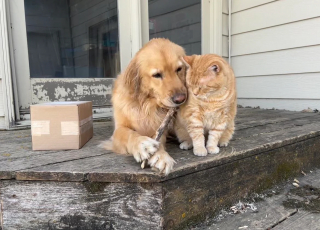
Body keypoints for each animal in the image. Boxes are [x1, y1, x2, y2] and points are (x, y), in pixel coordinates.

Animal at [101, 38, 188, 174]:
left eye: (179, 69)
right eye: (157, 75)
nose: (181, 99)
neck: (146, 105)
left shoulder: (158, 127)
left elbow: (159, 140)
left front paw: (161, 156)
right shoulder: (118, 131)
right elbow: (129, 134)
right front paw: (142, 144)